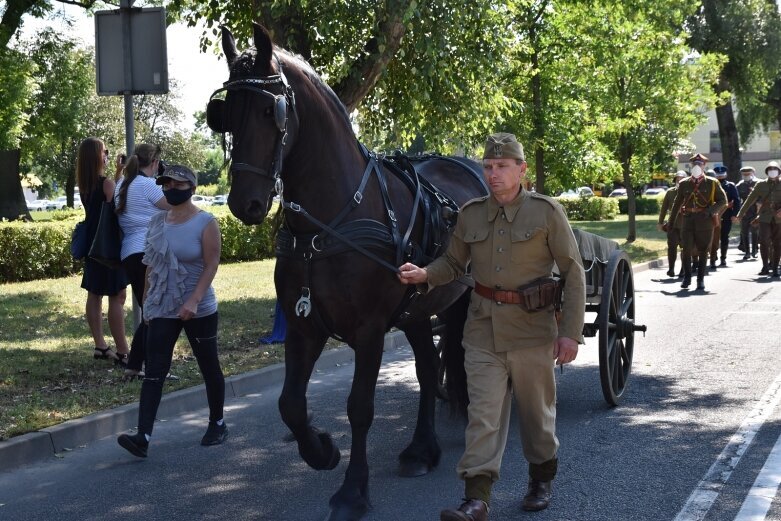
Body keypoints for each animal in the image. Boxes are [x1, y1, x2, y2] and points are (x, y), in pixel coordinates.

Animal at [207, 23, 488, 520]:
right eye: (226, 114)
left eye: (270, 110)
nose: (245, 203)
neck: (329, 224)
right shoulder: (303, 325)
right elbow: (290, 404)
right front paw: (321, 449)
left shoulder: (370, 330)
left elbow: (359, 407)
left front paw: (353, 490)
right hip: (418, 309)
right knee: (428, 366)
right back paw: (422, 448)